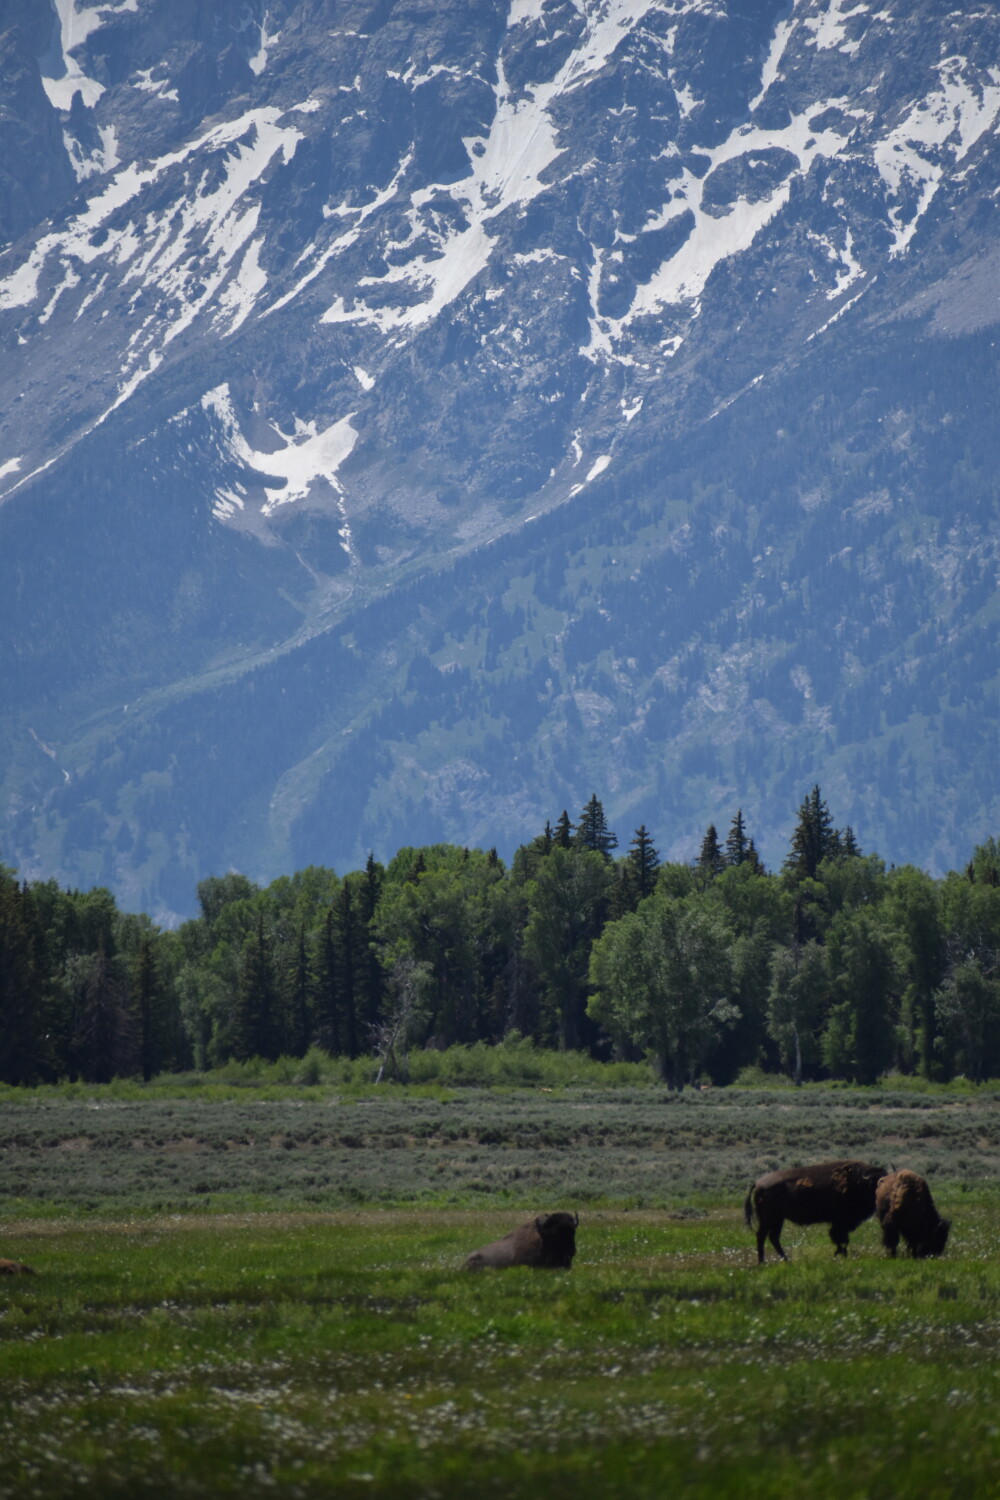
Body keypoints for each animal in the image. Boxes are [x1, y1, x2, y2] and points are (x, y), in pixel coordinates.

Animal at [744, 1160, 886, 1263]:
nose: (883, 1194)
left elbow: (841, 1239)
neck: (857, 1181)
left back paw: (786, 1260)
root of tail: (758, 1183)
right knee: (762, 1236)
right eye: (875, 1183)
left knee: (773, 1237)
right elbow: (841, 1238)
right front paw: (841, 1255)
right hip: (768, 1219)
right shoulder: (840, 1222)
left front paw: (840, 1254)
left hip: (778, 1219)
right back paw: (762, 1262)